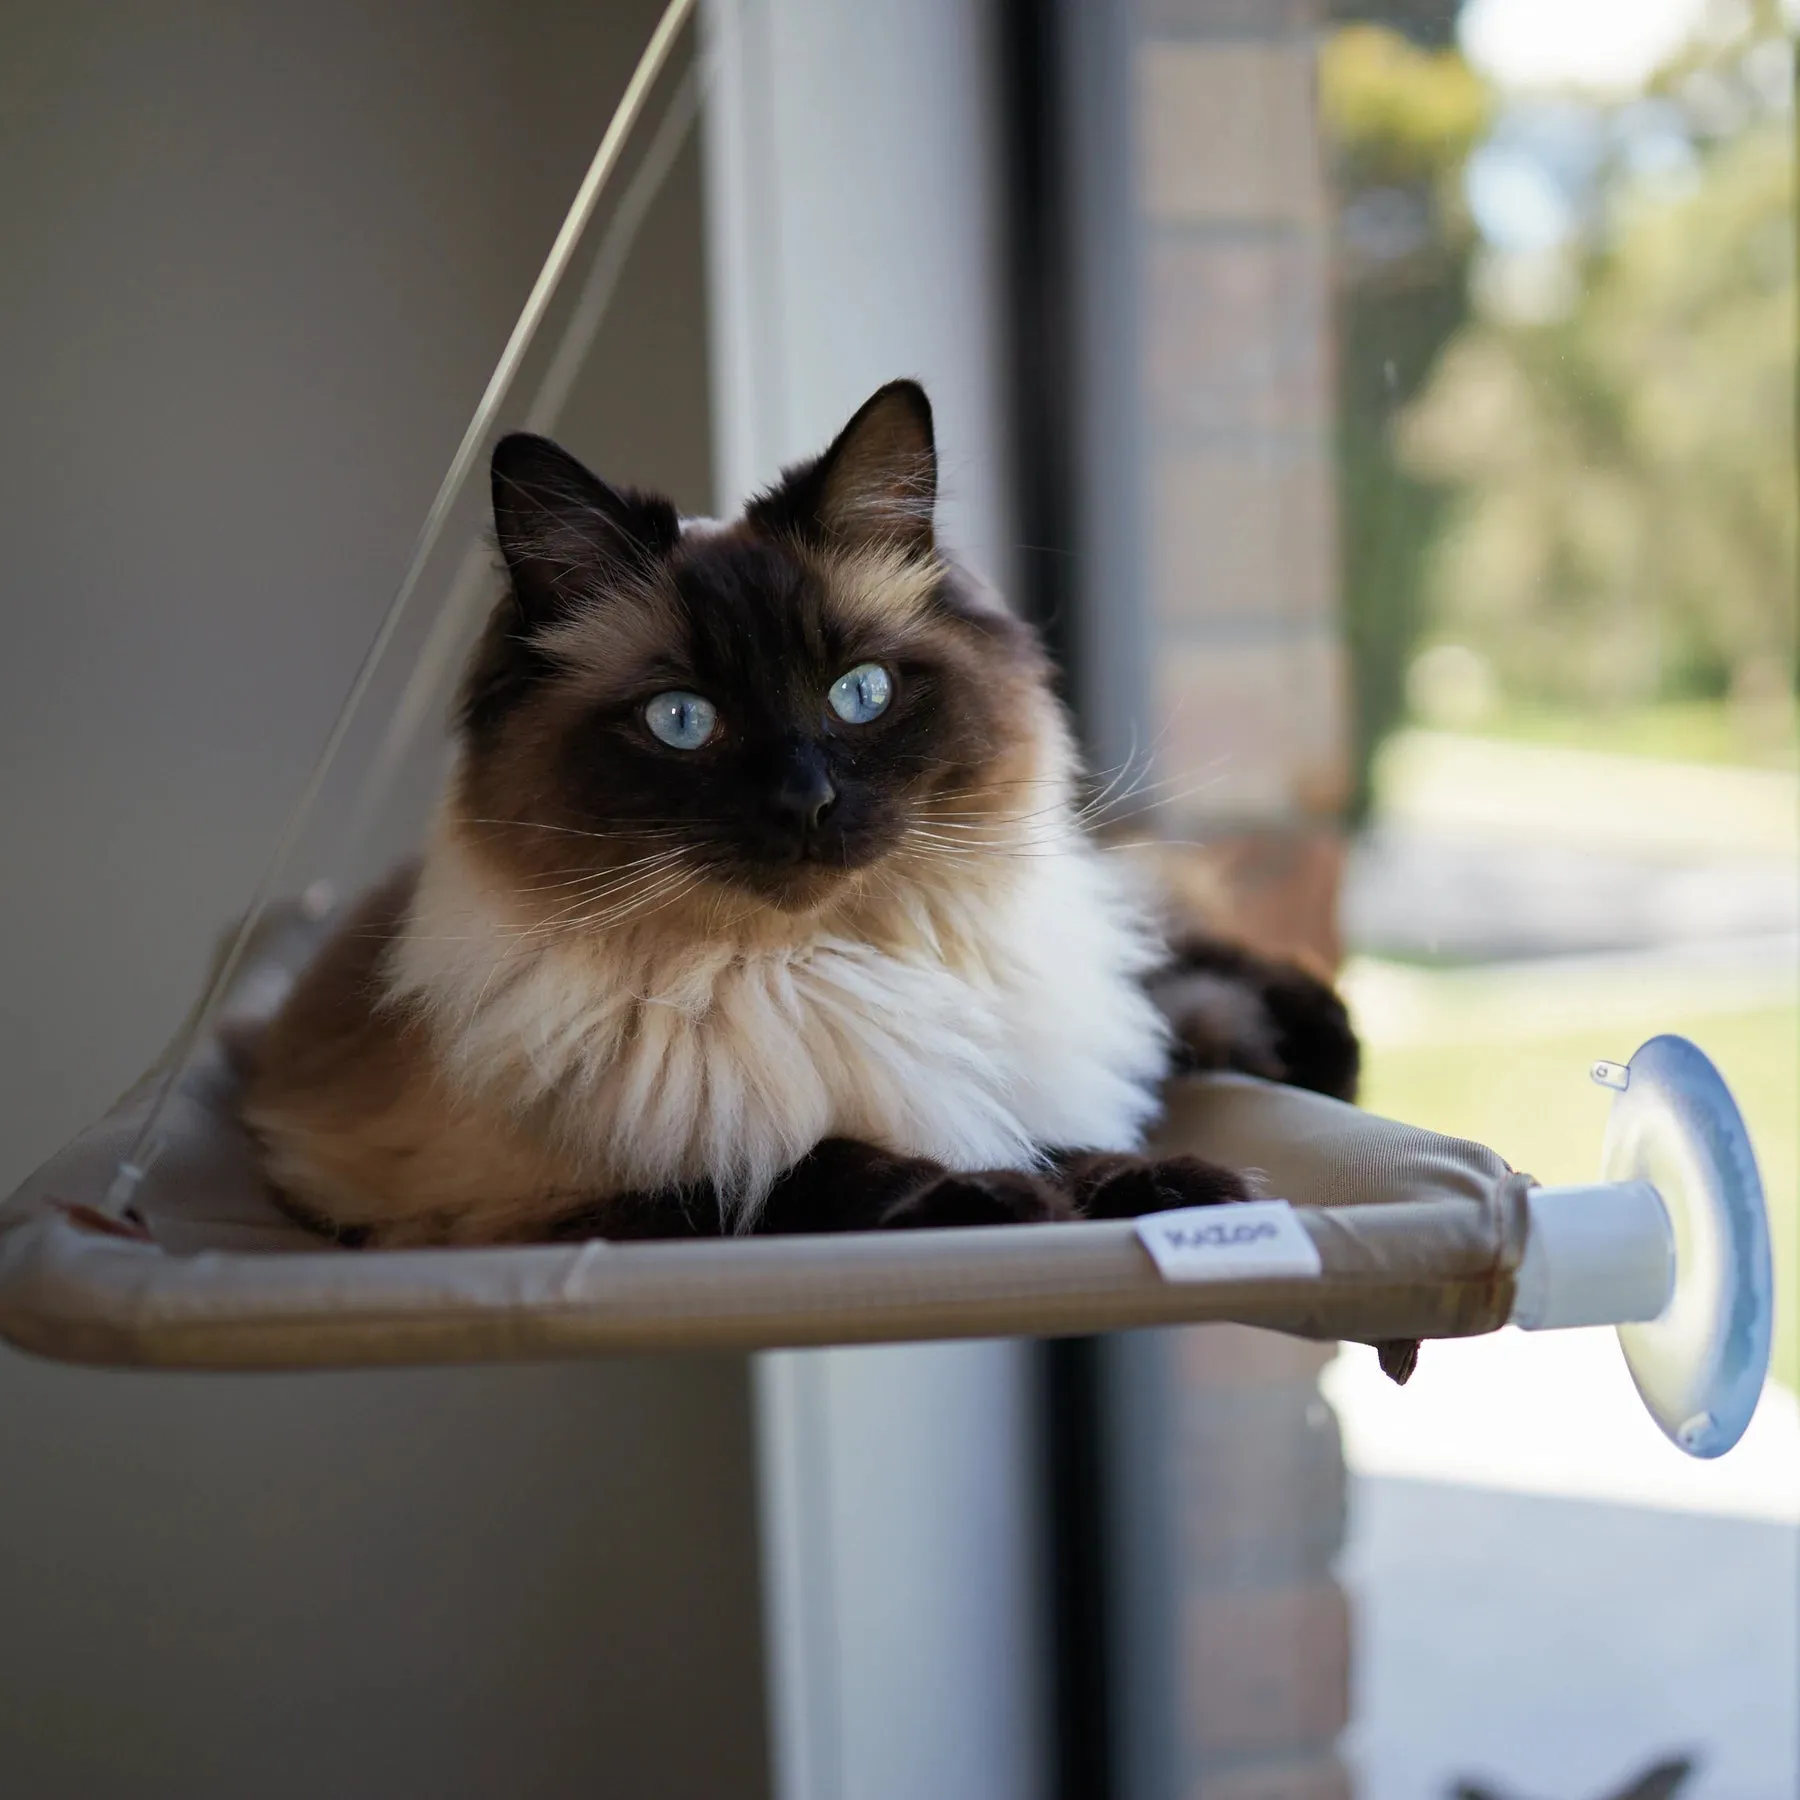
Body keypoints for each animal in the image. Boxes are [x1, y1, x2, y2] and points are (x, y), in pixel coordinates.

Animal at [246, 379, 1353, 1252]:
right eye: (682, 721)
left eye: (858, 695)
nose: (807, 800)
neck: (812, 969)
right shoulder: (562, 1201)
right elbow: (813, 1169)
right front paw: (1008, 1199)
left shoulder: (1009, 1086)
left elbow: (1066, 1137)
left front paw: (1177, 1188)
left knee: (1180, 972)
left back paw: (1317, 1051)